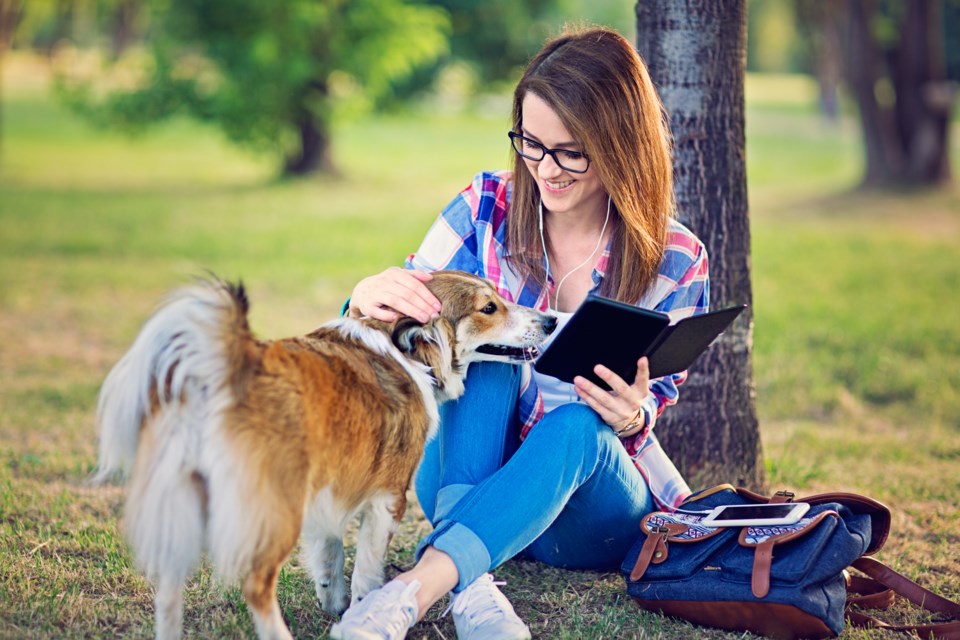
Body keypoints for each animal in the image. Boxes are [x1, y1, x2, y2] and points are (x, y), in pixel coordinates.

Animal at [95, 272, 556, 640]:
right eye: (489, 308)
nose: (551, 320)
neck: (405, 352)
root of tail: (225, 368)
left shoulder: (328, 483)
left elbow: (330, 548)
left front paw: (332, 600)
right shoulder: (388, 497)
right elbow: (367, 568)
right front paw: (365, 609)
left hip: (185, 503)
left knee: (168, 588)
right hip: (276, 510)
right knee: (256, 585)